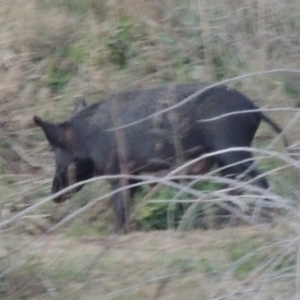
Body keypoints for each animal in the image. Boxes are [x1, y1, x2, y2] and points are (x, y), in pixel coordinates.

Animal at [32, 83, 288, 233]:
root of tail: (255, 109)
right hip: (225, 159)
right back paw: (223, 223)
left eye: (57, 152)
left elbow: (119, 203)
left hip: (232, 148)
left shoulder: (118, 170)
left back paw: (268, 218)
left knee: (260, 181)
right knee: (234, 186)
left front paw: (116, 233)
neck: (88, 138)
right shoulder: (134, 173)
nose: (54, 194)